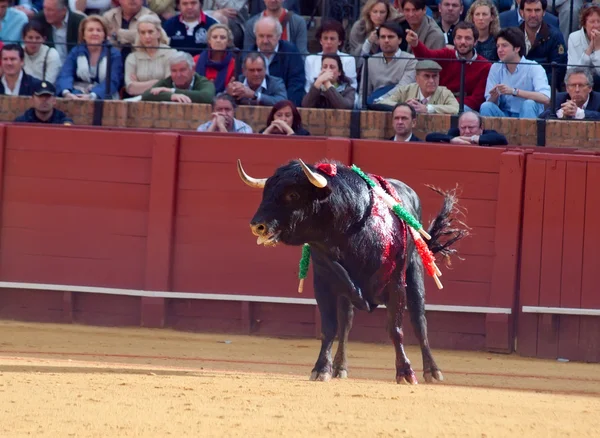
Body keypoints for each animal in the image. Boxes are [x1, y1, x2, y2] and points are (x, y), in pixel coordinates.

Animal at [236, 158, 468, 384]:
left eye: (292, 194)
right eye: (266, 192)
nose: (257, 225)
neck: (348, 230)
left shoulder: (395, 284)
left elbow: (396, 328)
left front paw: (405, 373)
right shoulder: (324, 283)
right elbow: (330, 327)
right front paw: (321, 369)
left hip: (415, 272)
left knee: (419, 322)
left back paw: (433, 371)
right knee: (346, 324)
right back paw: (340, 367)